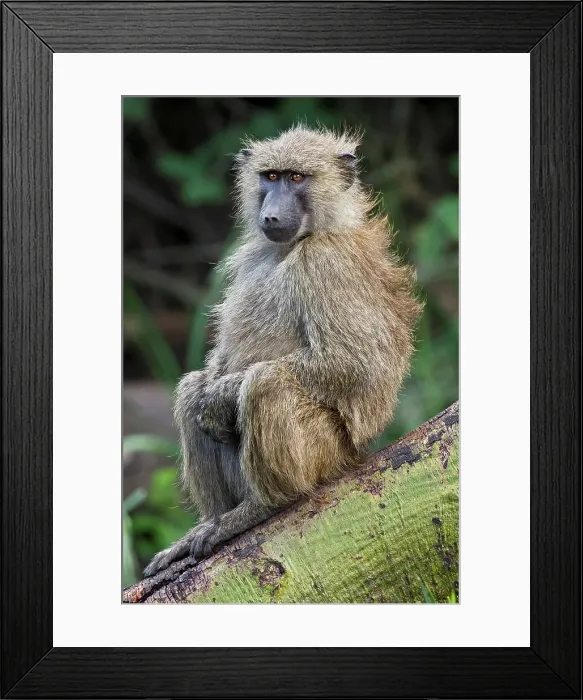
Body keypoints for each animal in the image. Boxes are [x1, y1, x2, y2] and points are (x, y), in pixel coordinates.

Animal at [144, 125, 423, 577]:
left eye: (296, 178)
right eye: (271, 176)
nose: (272, 216)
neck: (298, 242)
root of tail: (355, 456)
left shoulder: (326, 264)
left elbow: (355, 363)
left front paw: (220, 398)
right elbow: (215, 366)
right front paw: (212, 389)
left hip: (324, 453)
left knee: (266, 382)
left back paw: (262, 506)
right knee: (190, 390)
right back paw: (212, 520)